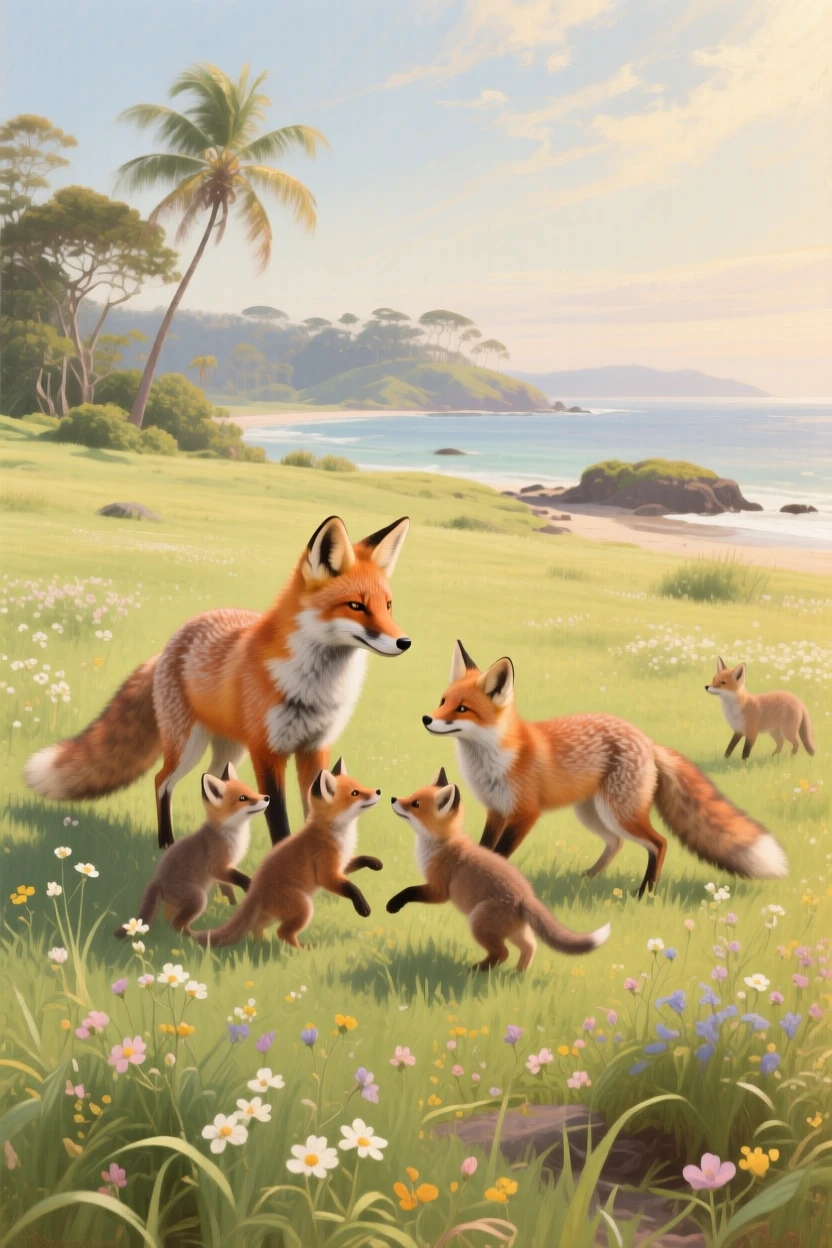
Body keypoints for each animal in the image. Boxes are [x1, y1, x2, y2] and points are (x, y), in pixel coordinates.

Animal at [23, 515, 411, 849]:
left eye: (389, 606)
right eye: (356, 606)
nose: (404, 642)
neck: (316, 687)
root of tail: (170, 642)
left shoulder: (316, 748)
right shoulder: (267, 751)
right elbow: (280, 824)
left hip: (229, 750)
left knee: (210, 784)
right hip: (188, 745)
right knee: (161, 781)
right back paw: (167, 844)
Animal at [114, 763, 268, 938]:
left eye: (252, 791)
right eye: (243, 798)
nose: (267, 797)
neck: (232, 835)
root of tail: (157, 880)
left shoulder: (228, 868)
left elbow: (229, 891)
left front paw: (234, 906)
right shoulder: (218, 867)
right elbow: (239, 878)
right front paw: (250, 886)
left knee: (170, 920)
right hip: (198, 898)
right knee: (177, 924)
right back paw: (198, 937)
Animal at [193, 759, 383, 949]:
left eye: (360, 787)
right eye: (355, 793)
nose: (378, 791)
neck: (338, 835)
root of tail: (255, 890)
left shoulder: (341, 863)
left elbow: (359, 860)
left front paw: (375, 863)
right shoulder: (326, 871)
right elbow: (351, 887)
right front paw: (362, 906)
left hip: (272, 915)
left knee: (257, 927)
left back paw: (261, 944)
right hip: (303, 908)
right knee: (282, 933)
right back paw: (303, 949)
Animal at [387, 768, 610, 970]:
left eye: (415, 804)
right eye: (411, 796)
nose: (392, 798)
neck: (441, 845)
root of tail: (525, 896)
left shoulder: (439, 889)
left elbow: (409, 891)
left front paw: (393, 904)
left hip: (478, 923)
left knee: (502, 953)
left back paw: (476, 970)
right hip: (513, 931)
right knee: (530, 946)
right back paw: (518, 975)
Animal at [421, 640, 788, 898]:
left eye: (463, 709)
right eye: (442, 701)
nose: (426, 718)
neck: (494, 759)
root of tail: (647, 740)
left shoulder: (525, 813)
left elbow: (499, 854)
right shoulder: (497, 811)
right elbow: (485, 850)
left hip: (620, 813)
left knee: (658, 843)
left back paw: (644, 892)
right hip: (593, 813)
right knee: (616, 843)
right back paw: (590, 877)